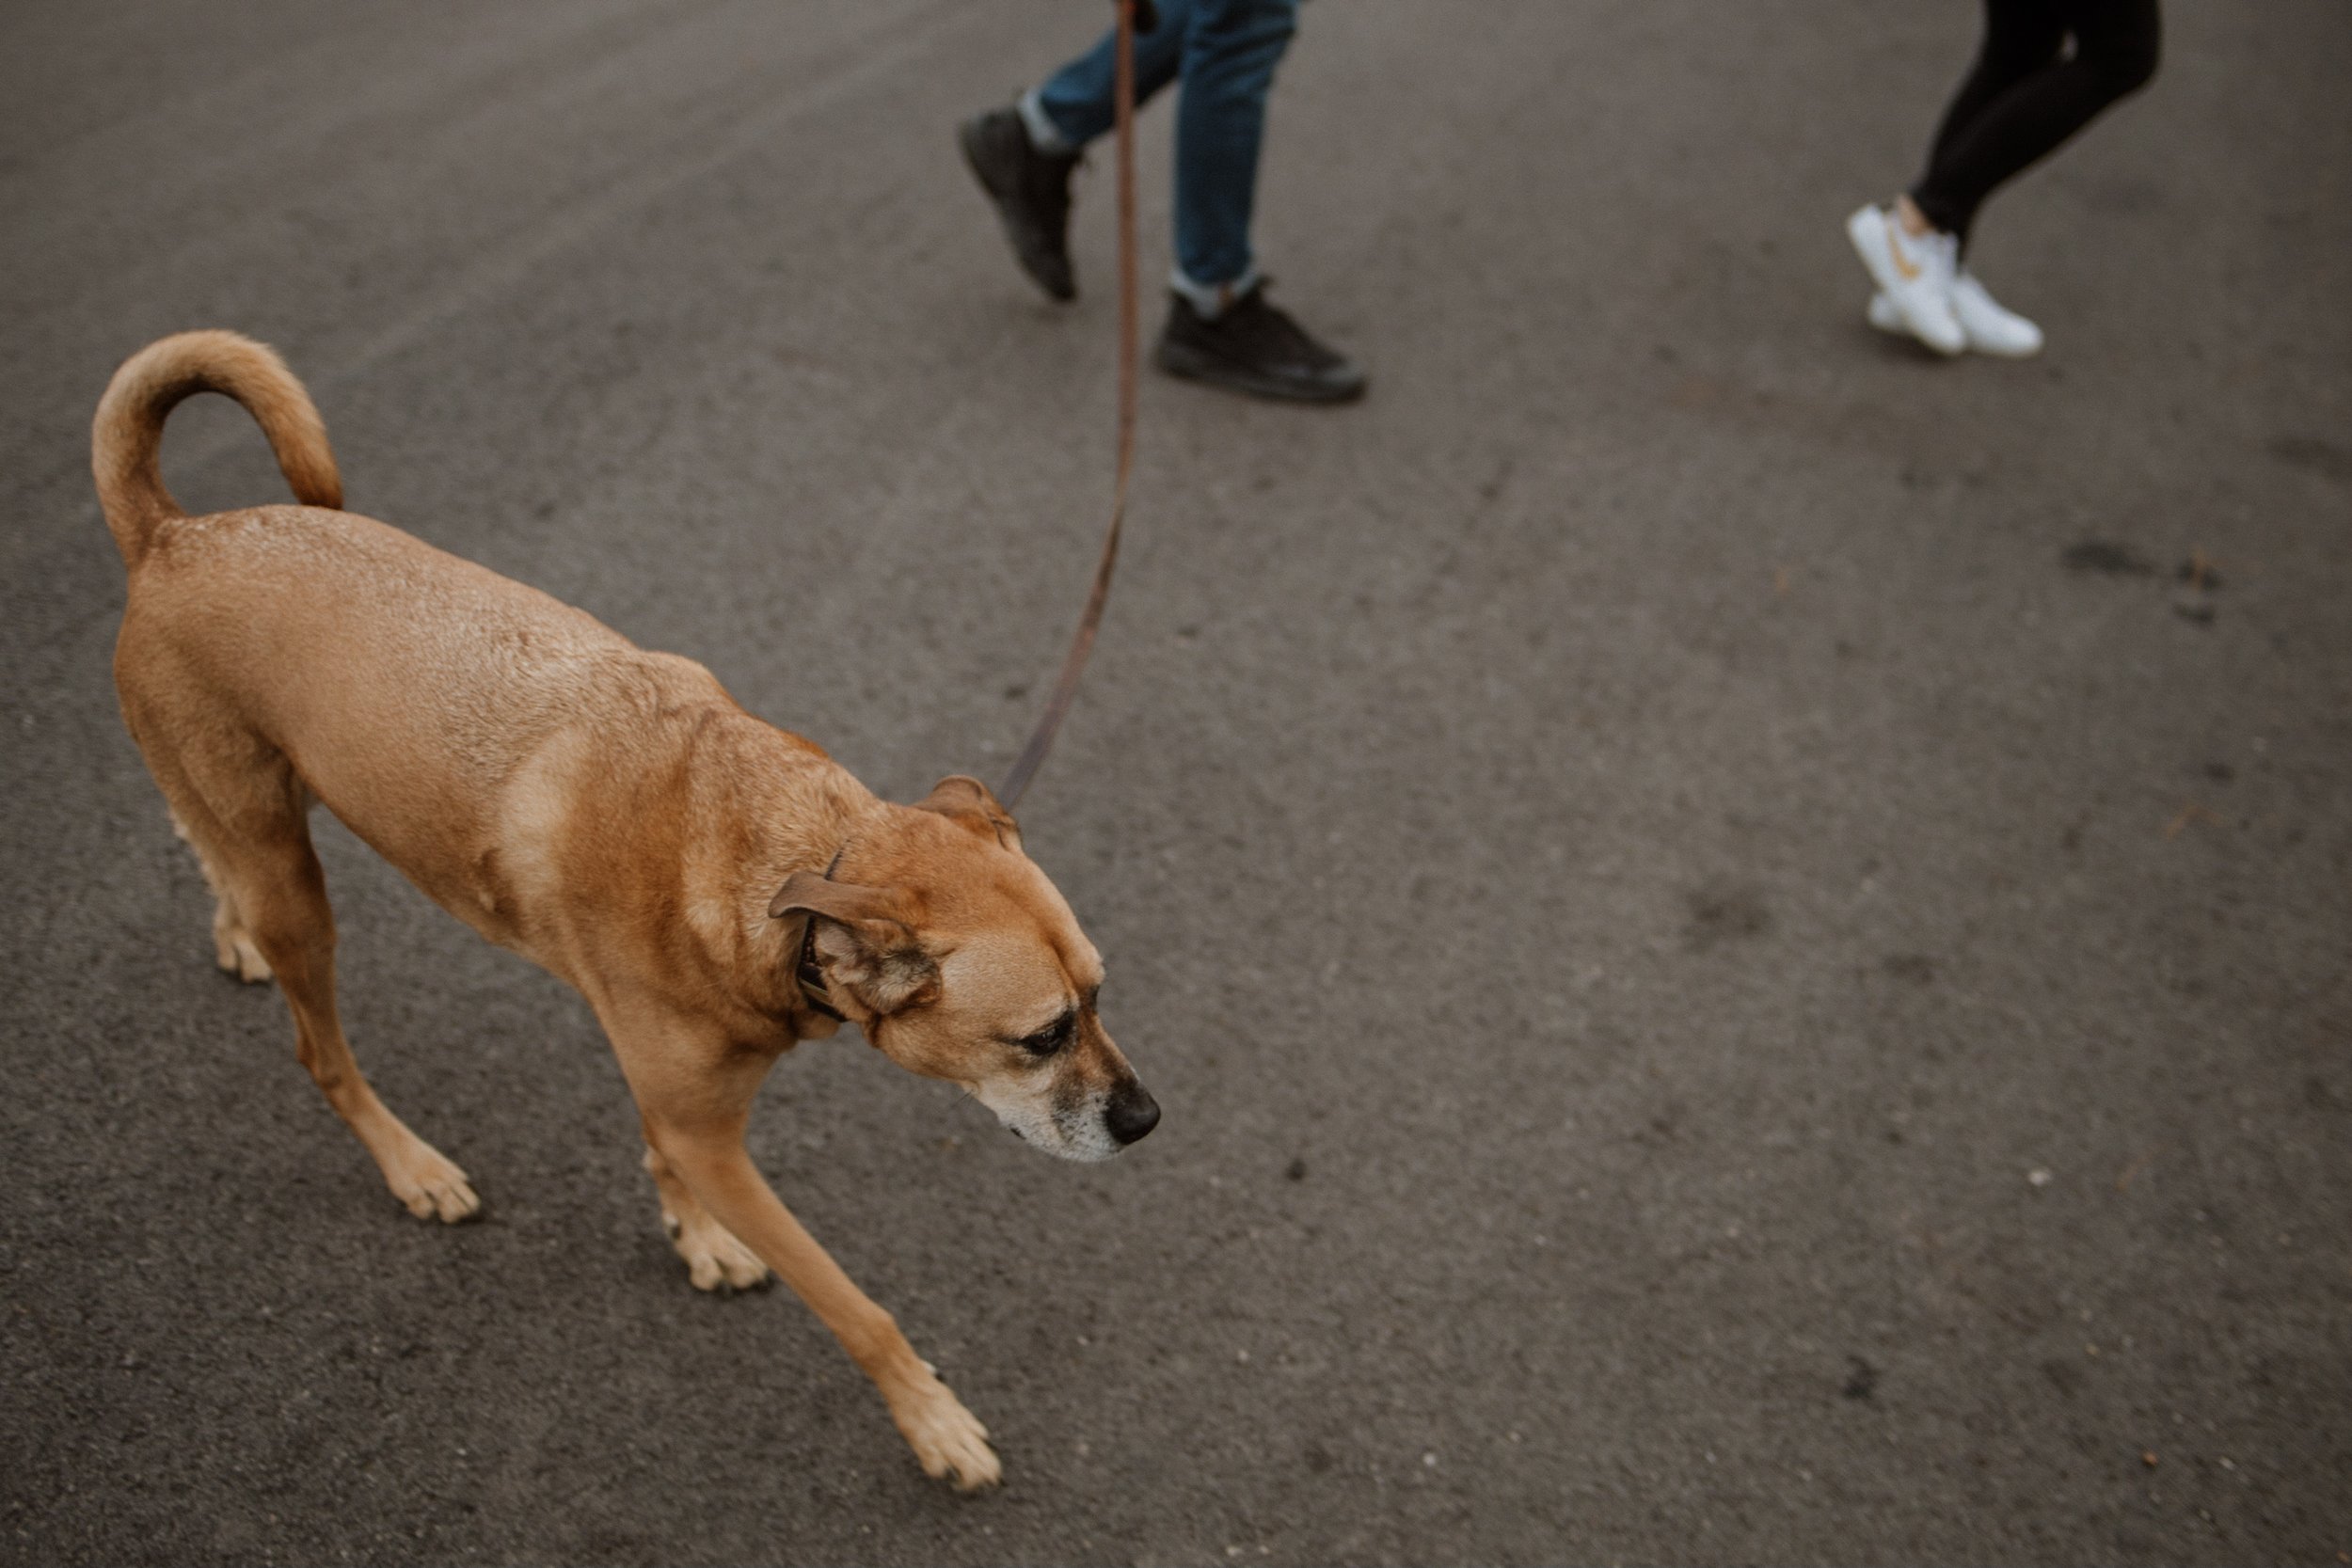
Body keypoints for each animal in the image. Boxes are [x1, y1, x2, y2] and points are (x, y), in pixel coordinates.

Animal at [91, 328, 1157, 1485]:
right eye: (1041, 1036)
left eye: (1102, 995)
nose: (1147, 1120)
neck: (772, 868)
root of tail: (174, 534)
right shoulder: (715, 1139)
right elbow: (853, 1303)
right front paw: (932, 1419)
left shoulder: (681, 1109)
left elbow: (660, 1156)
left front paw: (695, 1240)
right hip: (300, 893)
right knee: (320, 1052)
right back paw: (411, 1163)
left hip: (254, 829)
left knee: (212, 852)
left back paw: (233, 934)